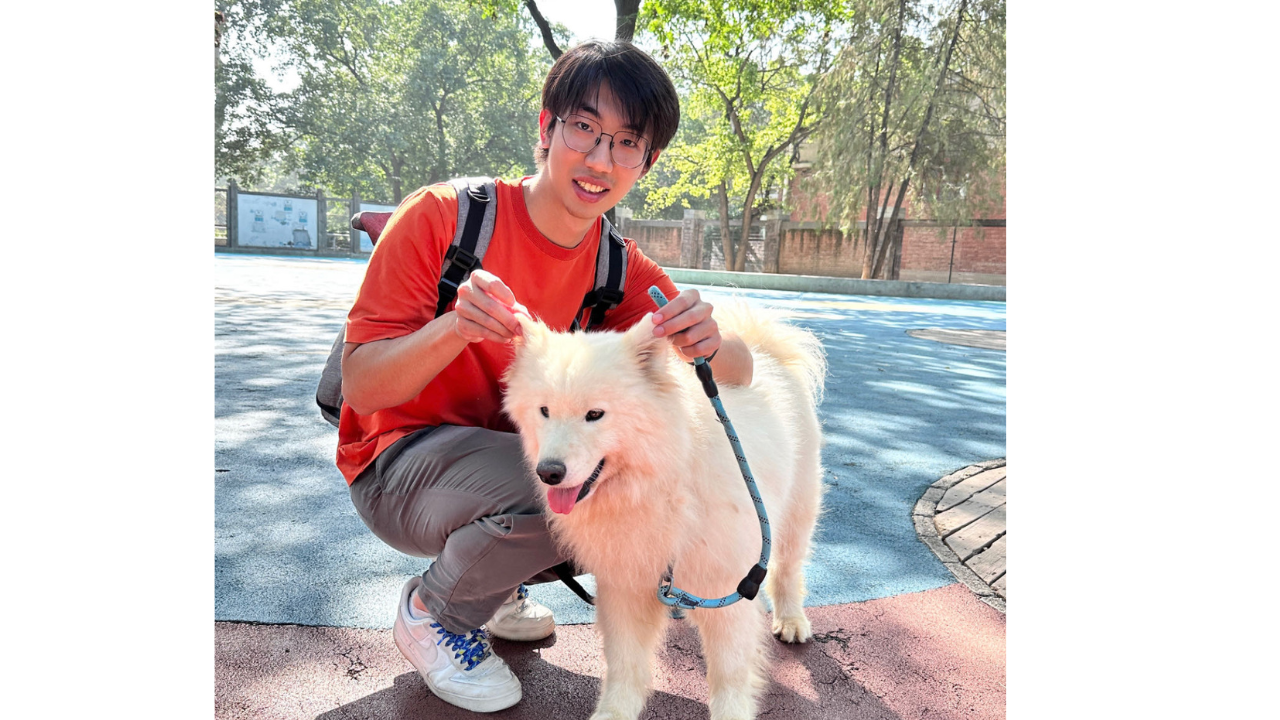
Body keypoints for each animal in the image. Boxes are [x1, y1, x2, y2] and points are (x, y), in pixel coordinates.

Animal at [502, 301, 826, 720]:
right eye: (544, 410)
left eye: (595, 414)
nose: (549, 472)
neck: (661, 481)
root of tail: (763, 345)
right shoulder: (624, 583)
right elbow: (625, 662)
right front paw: (614, 712)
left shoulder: (727, 586)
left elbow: (729, 671)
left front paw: (731, 711)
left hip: (793, 513)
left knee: (788, 569)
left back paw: (791, 620)